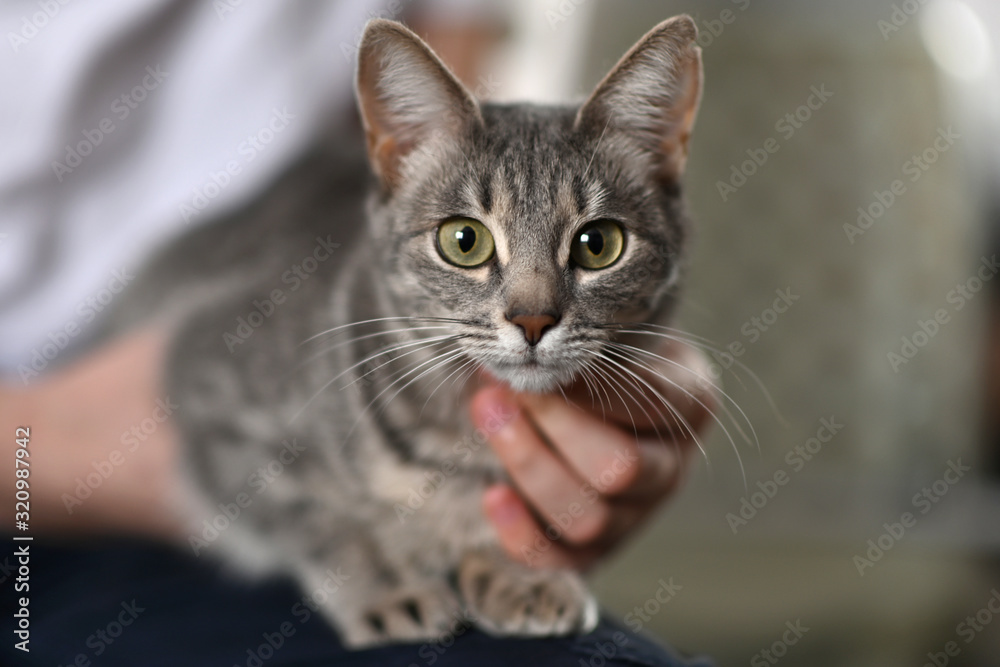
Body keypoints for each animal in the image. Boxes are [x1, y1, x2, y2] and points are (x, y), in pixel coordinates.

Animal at [160, 14, 700, 648]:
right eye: (464, 240)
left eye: (599, 244)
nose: (533, 319)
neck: (459, 449)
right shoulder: (214, 401)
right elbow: (324, 522)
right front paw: (388, 587)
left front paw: (518, 572)